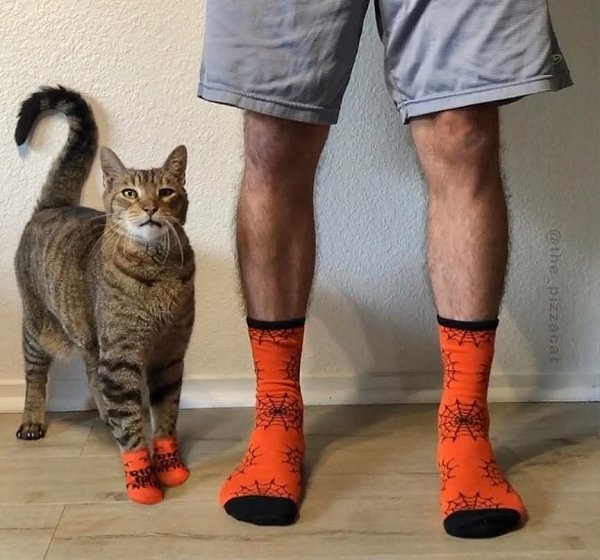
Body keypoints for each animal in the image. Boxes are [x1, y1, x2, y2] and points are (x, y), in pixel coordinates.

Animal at [14, 86, 195, 505]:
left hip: (90, 335)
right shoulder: (121, 355)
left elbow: (166, 413)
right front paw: (142, 477)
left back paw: (103, 412)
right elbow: (132, 424)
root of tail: (55, 205)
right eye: (129, 192)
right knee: (35, 376)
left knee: (90, 369)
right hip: (38, 328)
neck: (157, 267)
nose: (150, 207)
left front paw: (169, 464)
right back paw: (32, 419)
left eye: (166, 192)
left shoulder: (170, 353)